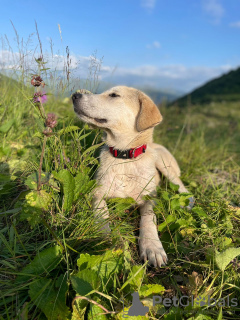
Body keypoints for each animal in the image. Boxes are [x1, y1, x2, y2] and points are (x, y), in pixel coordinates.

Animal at [72, 85, 194, 268]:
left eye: (114, 95)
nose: (75, 95)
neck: (125, 157)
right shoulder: (97, 193)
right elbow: (102, 213)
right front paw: (105, 238)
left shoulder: (149, 198)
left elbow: (148, 218)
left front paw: (152, 247)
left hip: (165, 165)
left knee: (180, 185)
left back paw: (188, 201)